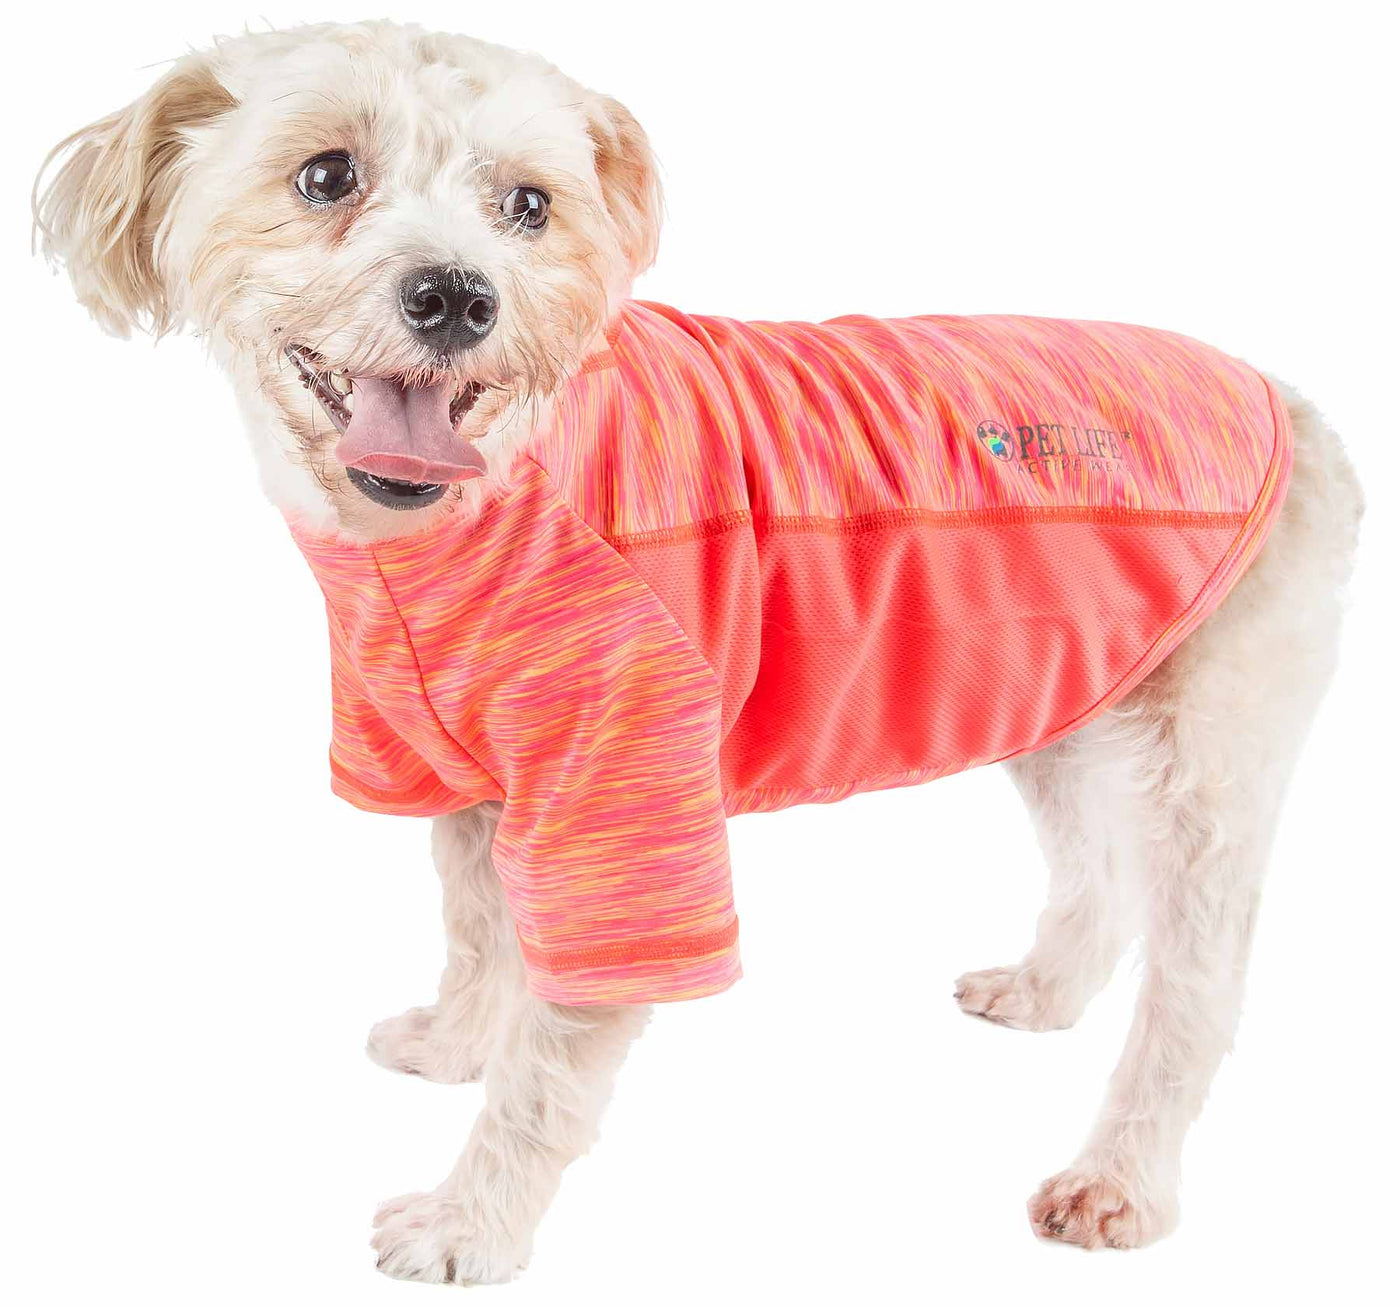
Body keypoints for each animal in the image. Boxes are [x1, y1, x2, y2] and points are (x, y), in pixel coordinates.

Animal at [35, 19, 1362, 1285]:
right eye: (325, 174)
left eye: (530, 205)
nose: (458, 297)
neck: (480, 505)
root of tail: (1285, 399)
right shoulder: (476, 787)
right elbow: (479, 932)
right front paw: (458, 1040)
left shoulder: (621, 805)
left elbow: (556, 1051)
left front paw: (472, 1220)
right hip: (1051, 694)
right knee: (1098, 869)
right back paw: (1044, 992)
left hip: (1208, 768)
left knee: (1194, 981)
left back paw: (1118, 1178)